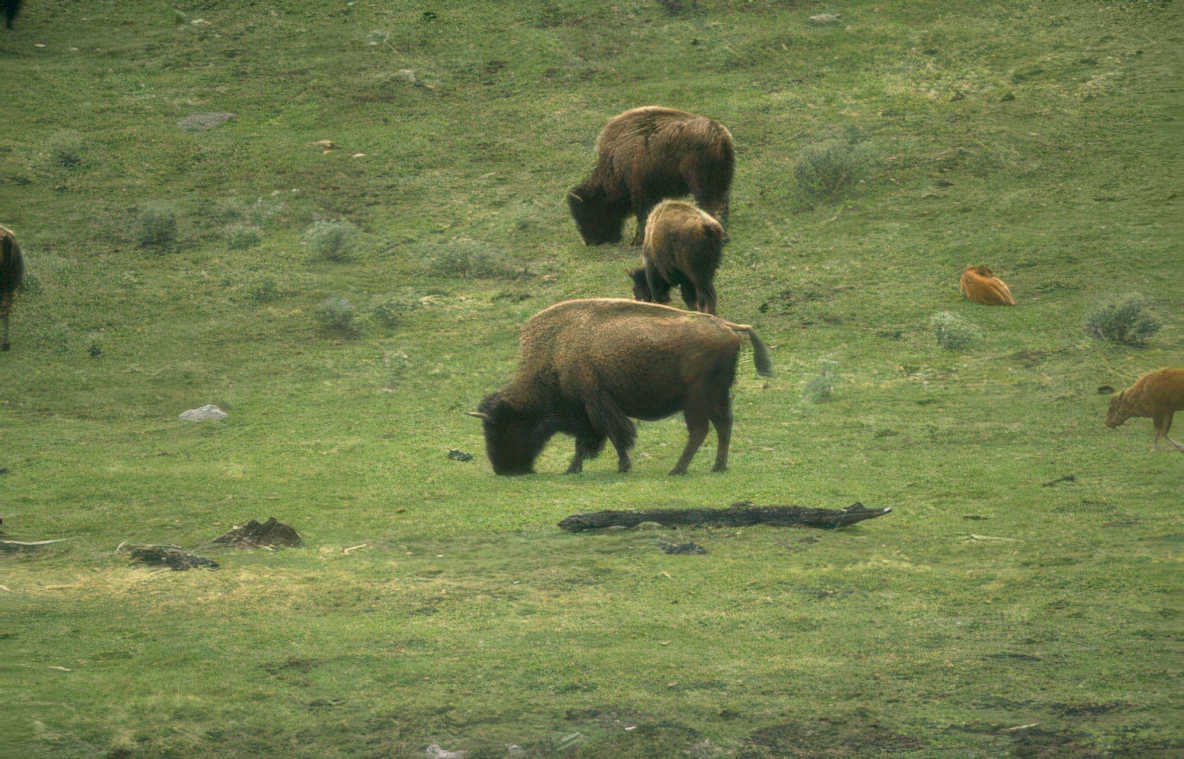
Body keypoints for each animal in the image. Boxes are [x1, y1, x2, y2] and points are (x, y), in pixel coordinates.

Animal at [469, 298, 772, 476]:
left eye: (499, 427)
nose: (503, 469)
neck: (556, 349)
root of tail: (727, 326)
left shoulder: (593, 404)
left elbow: (611, 435)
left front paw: (618, 466)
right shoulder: (588, 409)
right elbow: (592, 438)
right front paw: (575, 468)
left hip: (696, 400)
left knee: (700, 430)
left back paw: (678, 469)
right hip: (717, 396)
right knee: (723, 425)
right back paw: (717, 466)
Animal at [568, 106, 734, 247]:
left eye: (588, 212)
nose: (589, 241)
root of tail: (718, 134)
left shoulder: (640, 191)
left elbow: (642, 214)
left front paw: (637, 241)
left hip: (702, 185)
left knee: (712, 206)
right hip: (722, 183)